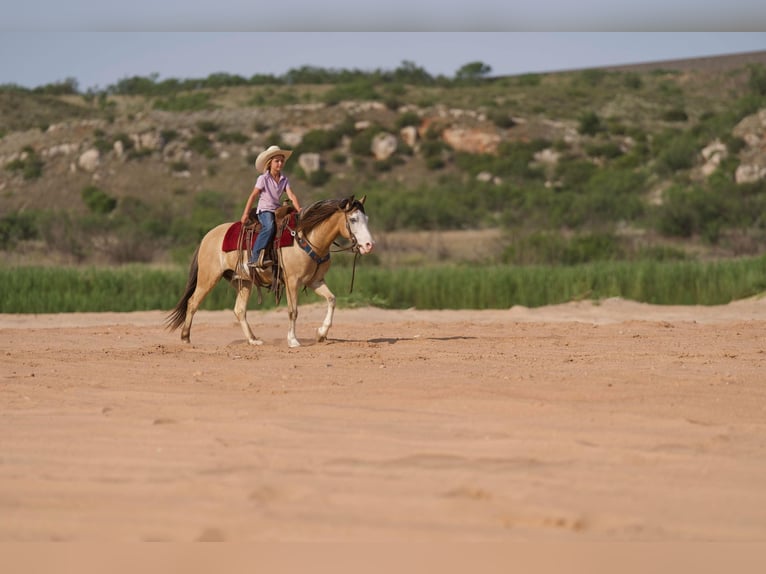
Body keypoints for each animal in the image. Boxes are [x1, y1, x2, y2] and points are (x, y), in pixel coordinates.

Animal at [166, 196, 376, 348]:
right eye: (353, 219)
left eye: (366, 219)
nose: (368, 245)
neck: (307, 237)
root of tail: (207, 237)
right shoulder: (292, 282)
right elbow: (293, 311)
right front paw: (293, 340)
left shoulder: (315, 281)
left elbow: (332, 300)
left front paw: (321, 333)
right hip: (208, 278)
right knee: (193, 303)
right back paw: (185, 338)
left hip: (243, 282)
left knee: (239, 310)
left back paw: (253, 340)